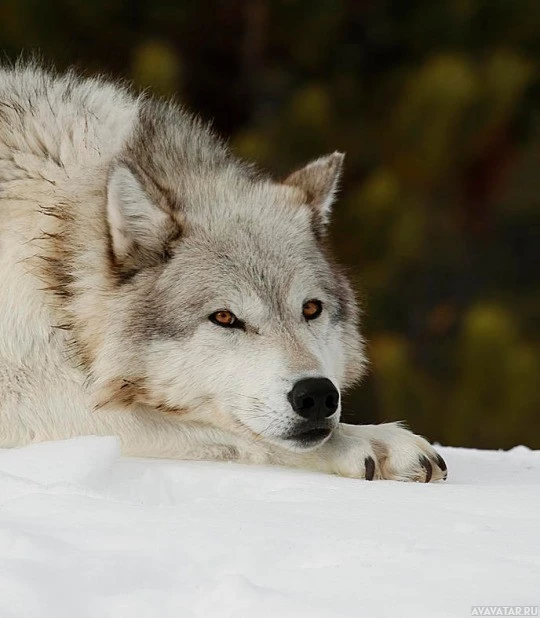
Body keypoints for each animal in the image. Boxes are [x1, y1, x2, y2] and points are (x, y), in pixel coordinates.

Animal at [0, 65, 448, 482]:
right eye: (224, 318)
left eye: (311, 309)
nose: (318, 395)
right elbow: (217, 428)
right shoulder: (27, 399)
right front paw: (373, 441)